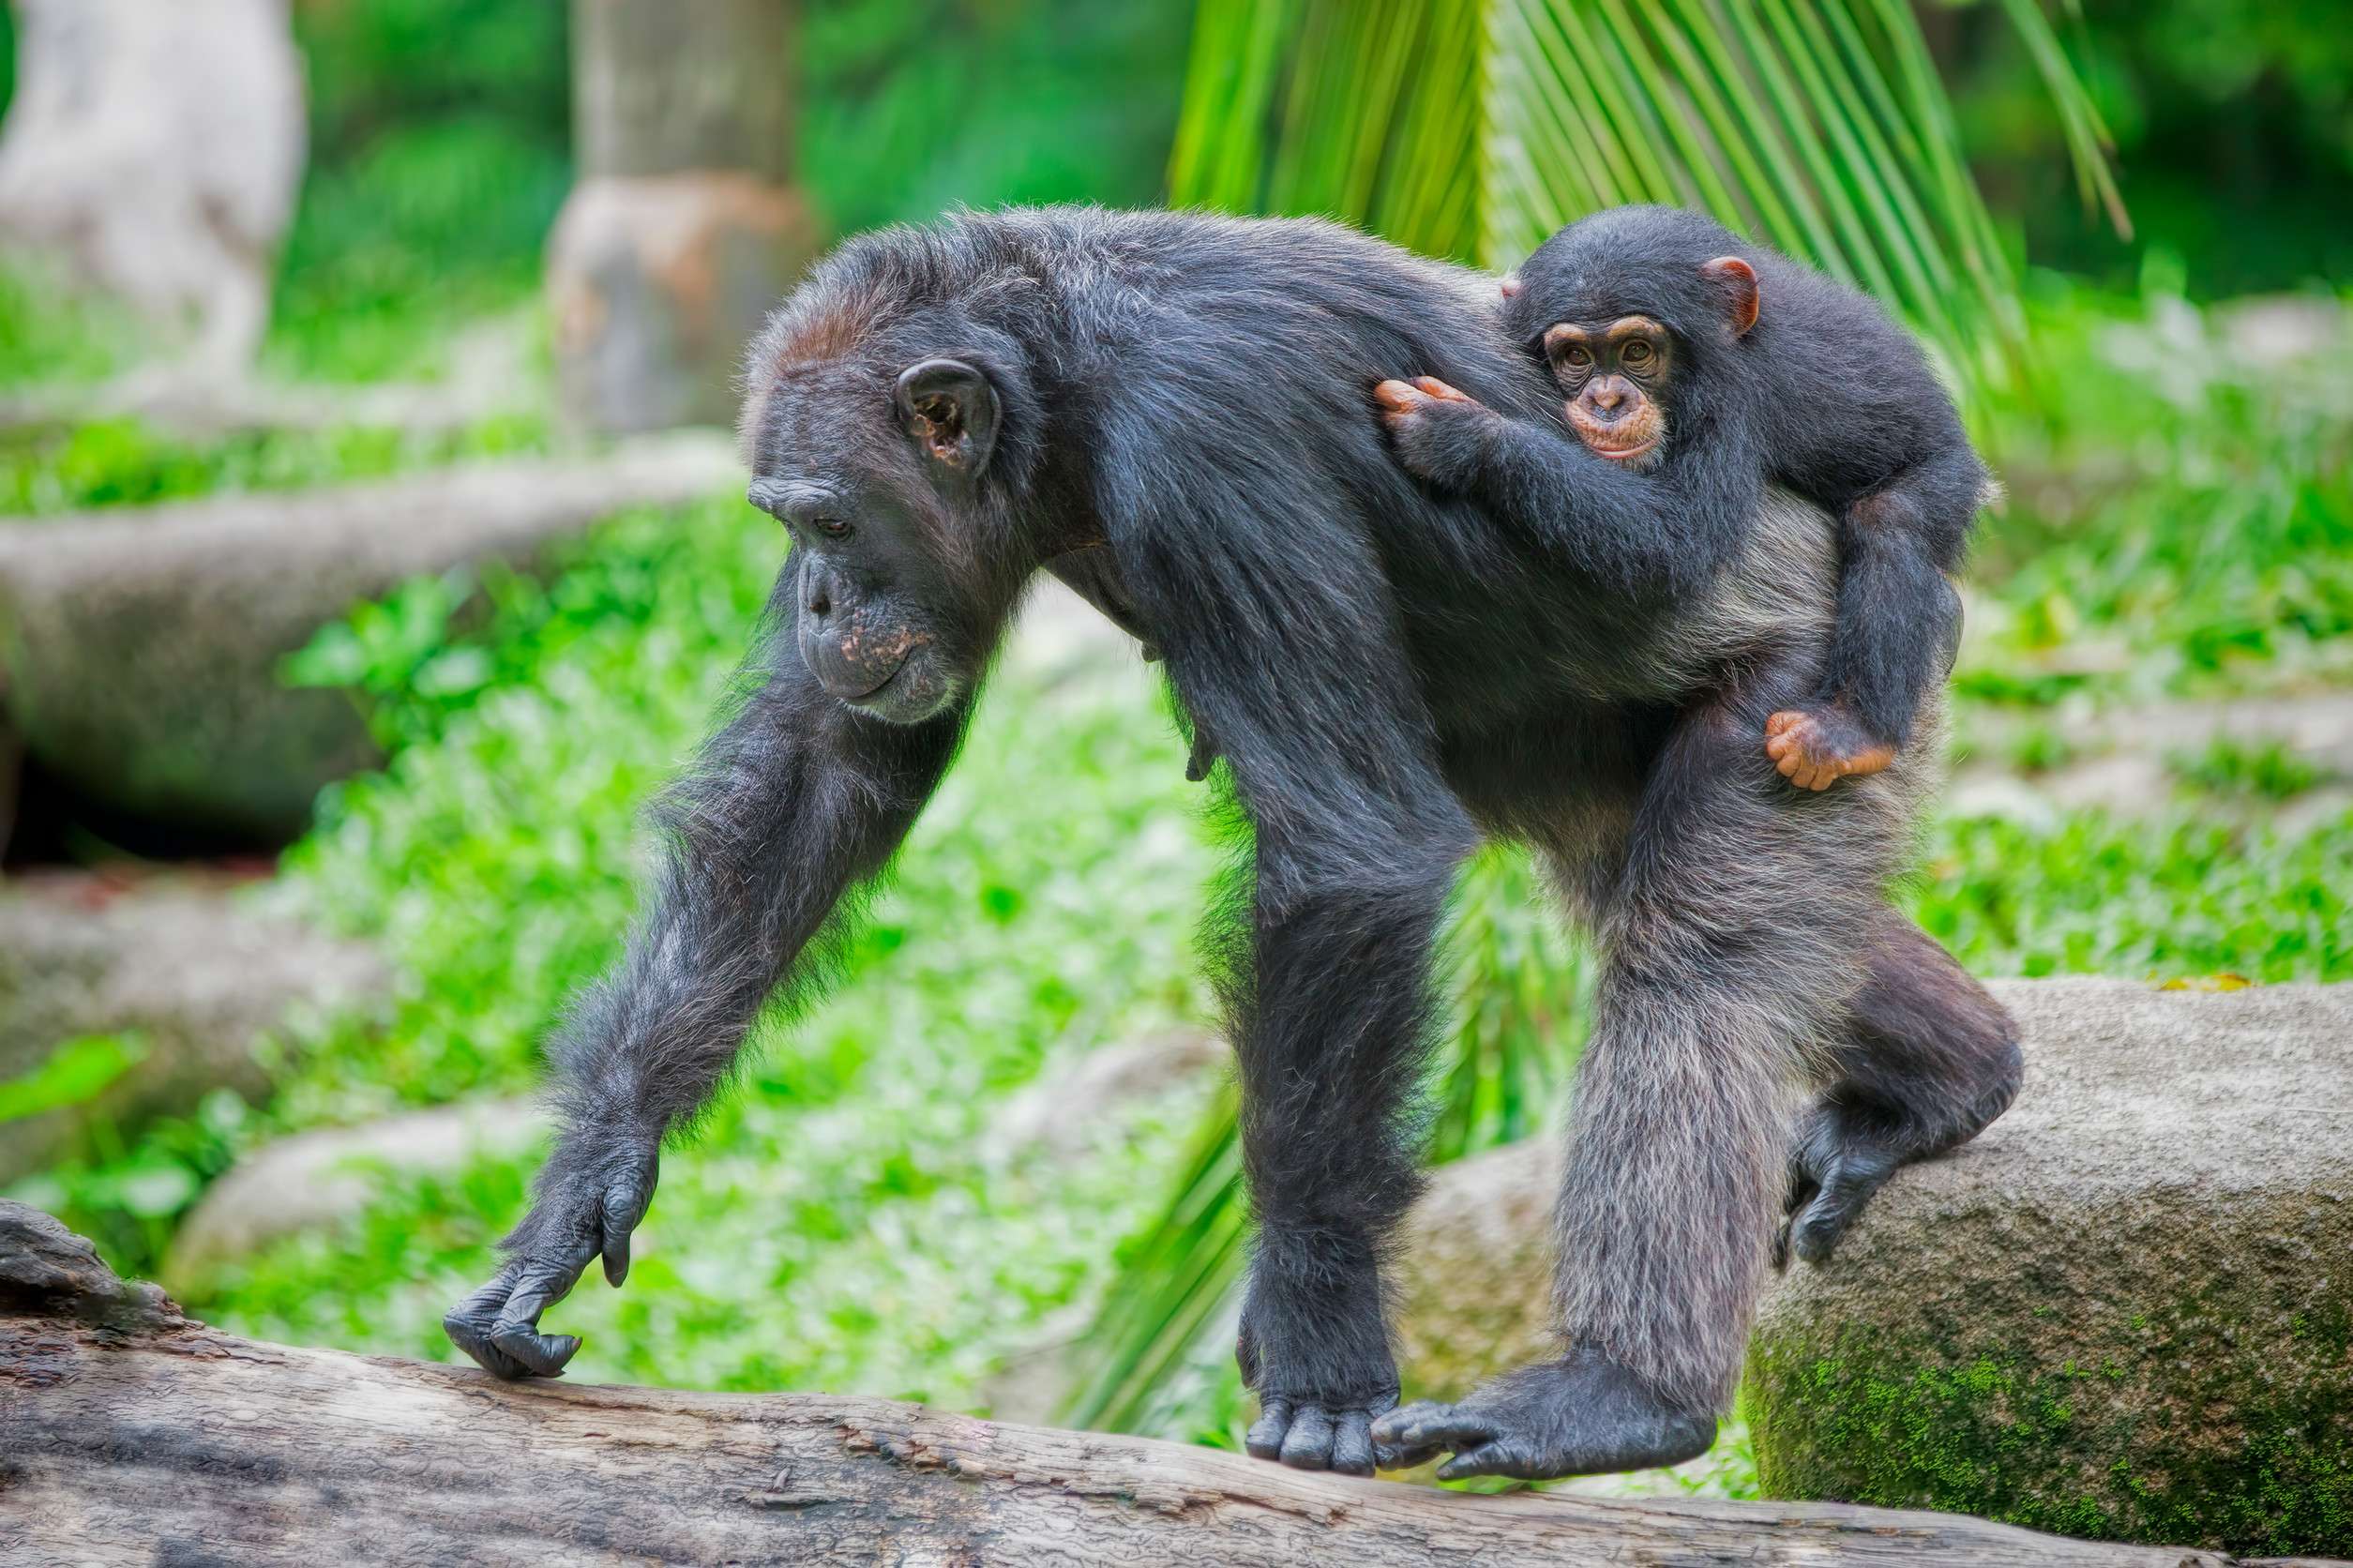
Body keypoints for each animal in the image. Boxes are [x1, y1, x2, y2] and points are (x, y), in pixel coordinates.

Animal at [1476, 205, 1990, 793]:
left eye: (1637, 350)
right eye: (1575, 355)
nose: (1607, 401)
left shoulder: (1730, 400)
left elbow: (1679, 539)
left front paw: (1468, 432)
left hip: (1948, 473)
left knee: (1891, 520)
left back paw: (1850, 733)